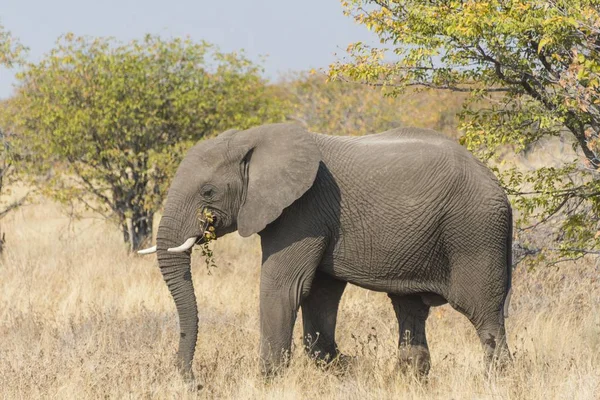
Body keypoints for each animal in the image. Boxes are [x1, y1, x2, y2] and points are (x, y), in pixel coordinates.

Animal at [139, 123, 510, 380]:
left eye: (208, 191)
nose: (193, 381)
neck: (253, 138)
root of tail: (495, 183)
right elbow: (317, 293)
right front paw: (345, 368)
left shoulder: (303, 209)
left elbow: (284, 288)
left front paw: (268, 383)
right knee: (410, 310)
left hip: (476, 232)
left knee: (483, 312)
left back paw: (496, 381)